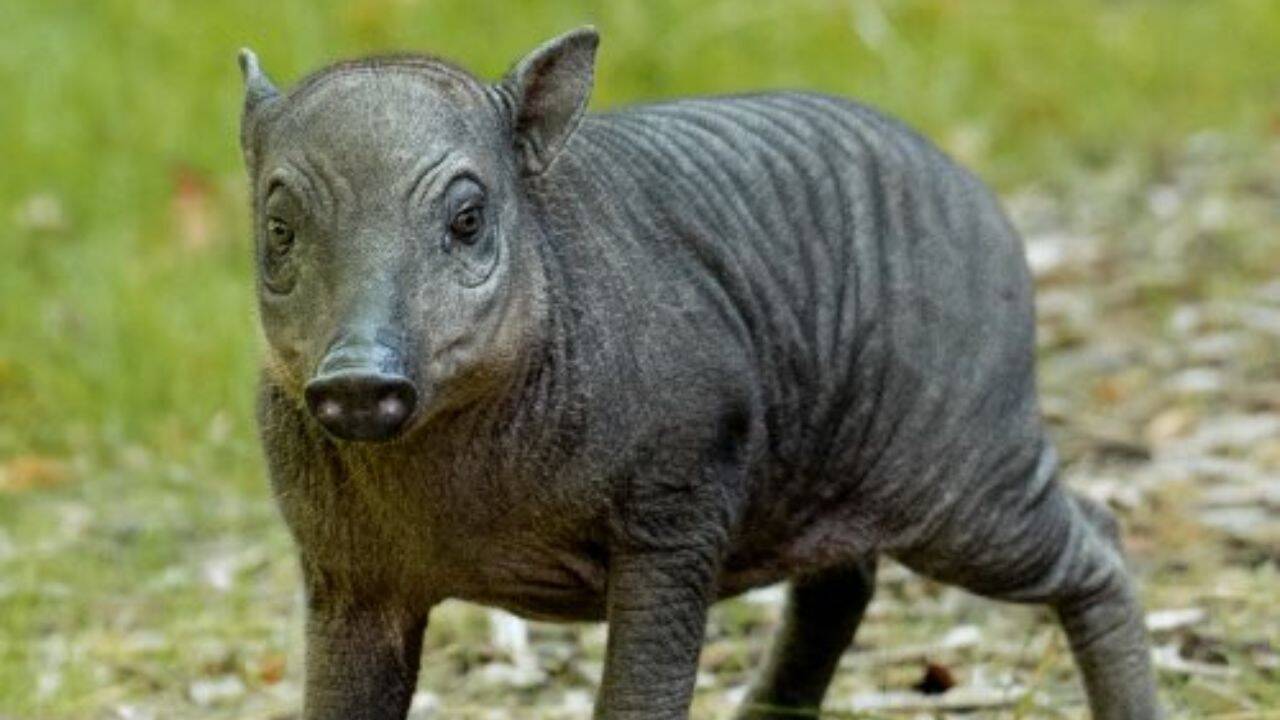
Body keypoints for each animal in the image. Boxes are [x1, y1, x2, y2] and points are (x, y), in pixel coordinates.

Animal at [237, 27, 1160, 720]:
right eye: (278, 228)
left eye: (467, 220)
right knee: (841, 586)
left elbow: (639, 697)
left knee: (1099, 540)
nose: (358, 382)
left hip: (967, 478)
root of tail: (980, 196)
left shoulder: (677, 516)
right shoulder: (346, 575)